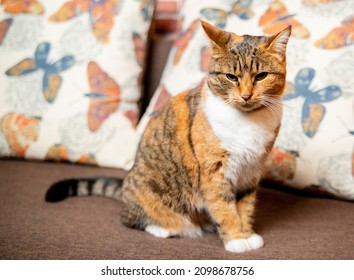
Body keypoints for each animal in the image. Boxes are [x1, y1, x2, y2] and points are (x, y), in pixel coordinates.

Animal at [46, 21, 290, 254]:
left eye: (261, 76)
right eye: (231, 77)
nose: (246, 96)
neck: (248, 120)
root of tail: (126, 186)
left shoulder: (251, 171)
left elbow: (245, 206)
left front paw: (247, 234)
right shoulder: (213, 172)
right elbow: (225, 208)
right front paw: (237, 239)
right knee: (132, 220)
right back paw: (166, 228)